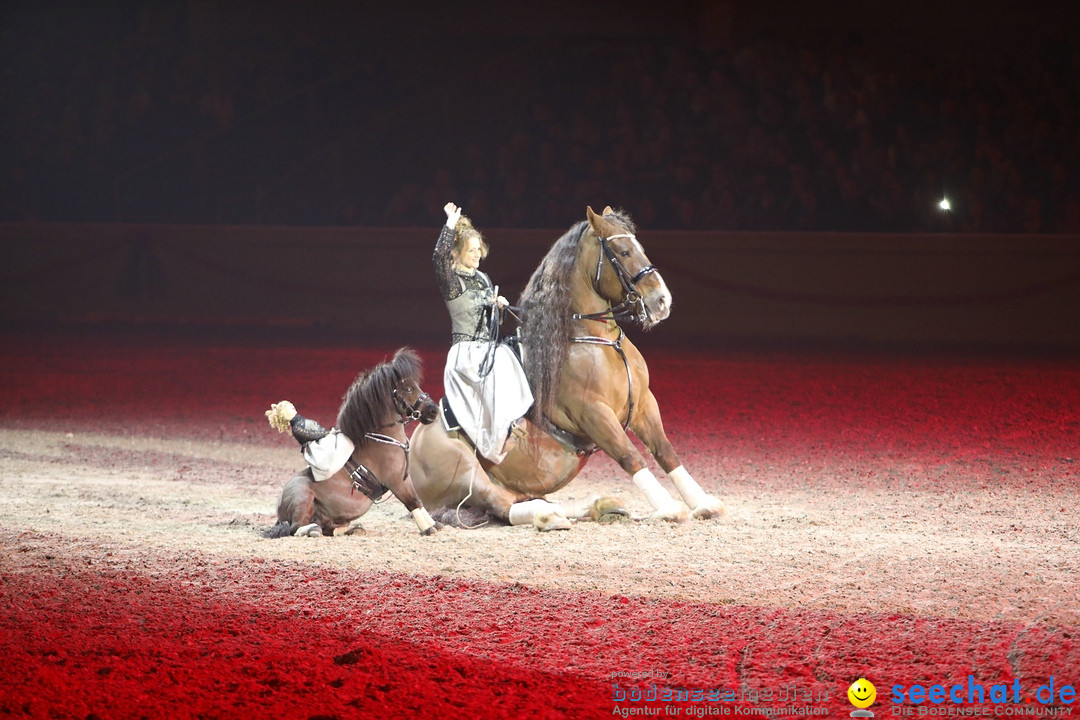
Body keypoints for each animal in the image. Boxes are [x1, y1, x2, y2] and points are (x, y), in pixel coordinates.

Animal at [264, 345, 438, 537]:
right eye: (407, 388)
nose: (434, 410)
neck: (382, 441)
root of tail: (280, 508)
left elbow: (417, 501)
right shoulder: (397, 481)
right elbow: (414, 501)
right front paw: (429, 527)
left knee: (326, 527)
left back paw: (351, 528)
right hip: (303, 497)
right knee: (296, 527)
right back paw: (315, 530)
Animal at [410, 207, 725, 528]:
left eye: (640, 249)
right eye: (623, 252)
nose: (662, 301)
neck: (599, 343)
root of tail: (414, 446)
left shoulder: (643, 404)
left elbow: (666, 451)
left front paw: (704, 504)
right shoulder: (593, 414)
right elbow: (630, 455)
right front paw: (668, 507)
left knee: (520, 500)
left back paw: (599, 505)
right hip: (468, 473)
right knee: (503, 504)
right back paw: (551, 516)